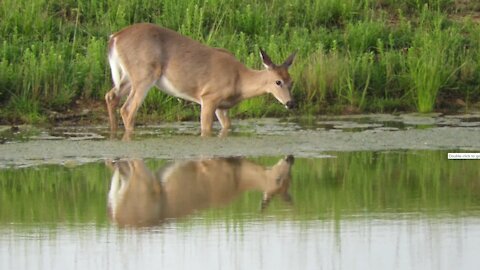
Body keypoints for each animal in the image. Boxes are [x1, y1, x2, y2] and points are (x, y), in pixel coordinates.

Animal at [105, 23, 296, 137]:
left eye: (291, 81)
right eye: (278, 81)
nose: (290, 103)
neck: (239, 79)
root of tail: (115, 37)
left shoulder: (222, 107)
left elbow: (227, 127)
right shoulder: (209, 97)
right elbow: (206, 128)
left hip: (128, 76)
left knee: (111, 96)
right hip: (144, 74)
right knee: (128, 109)